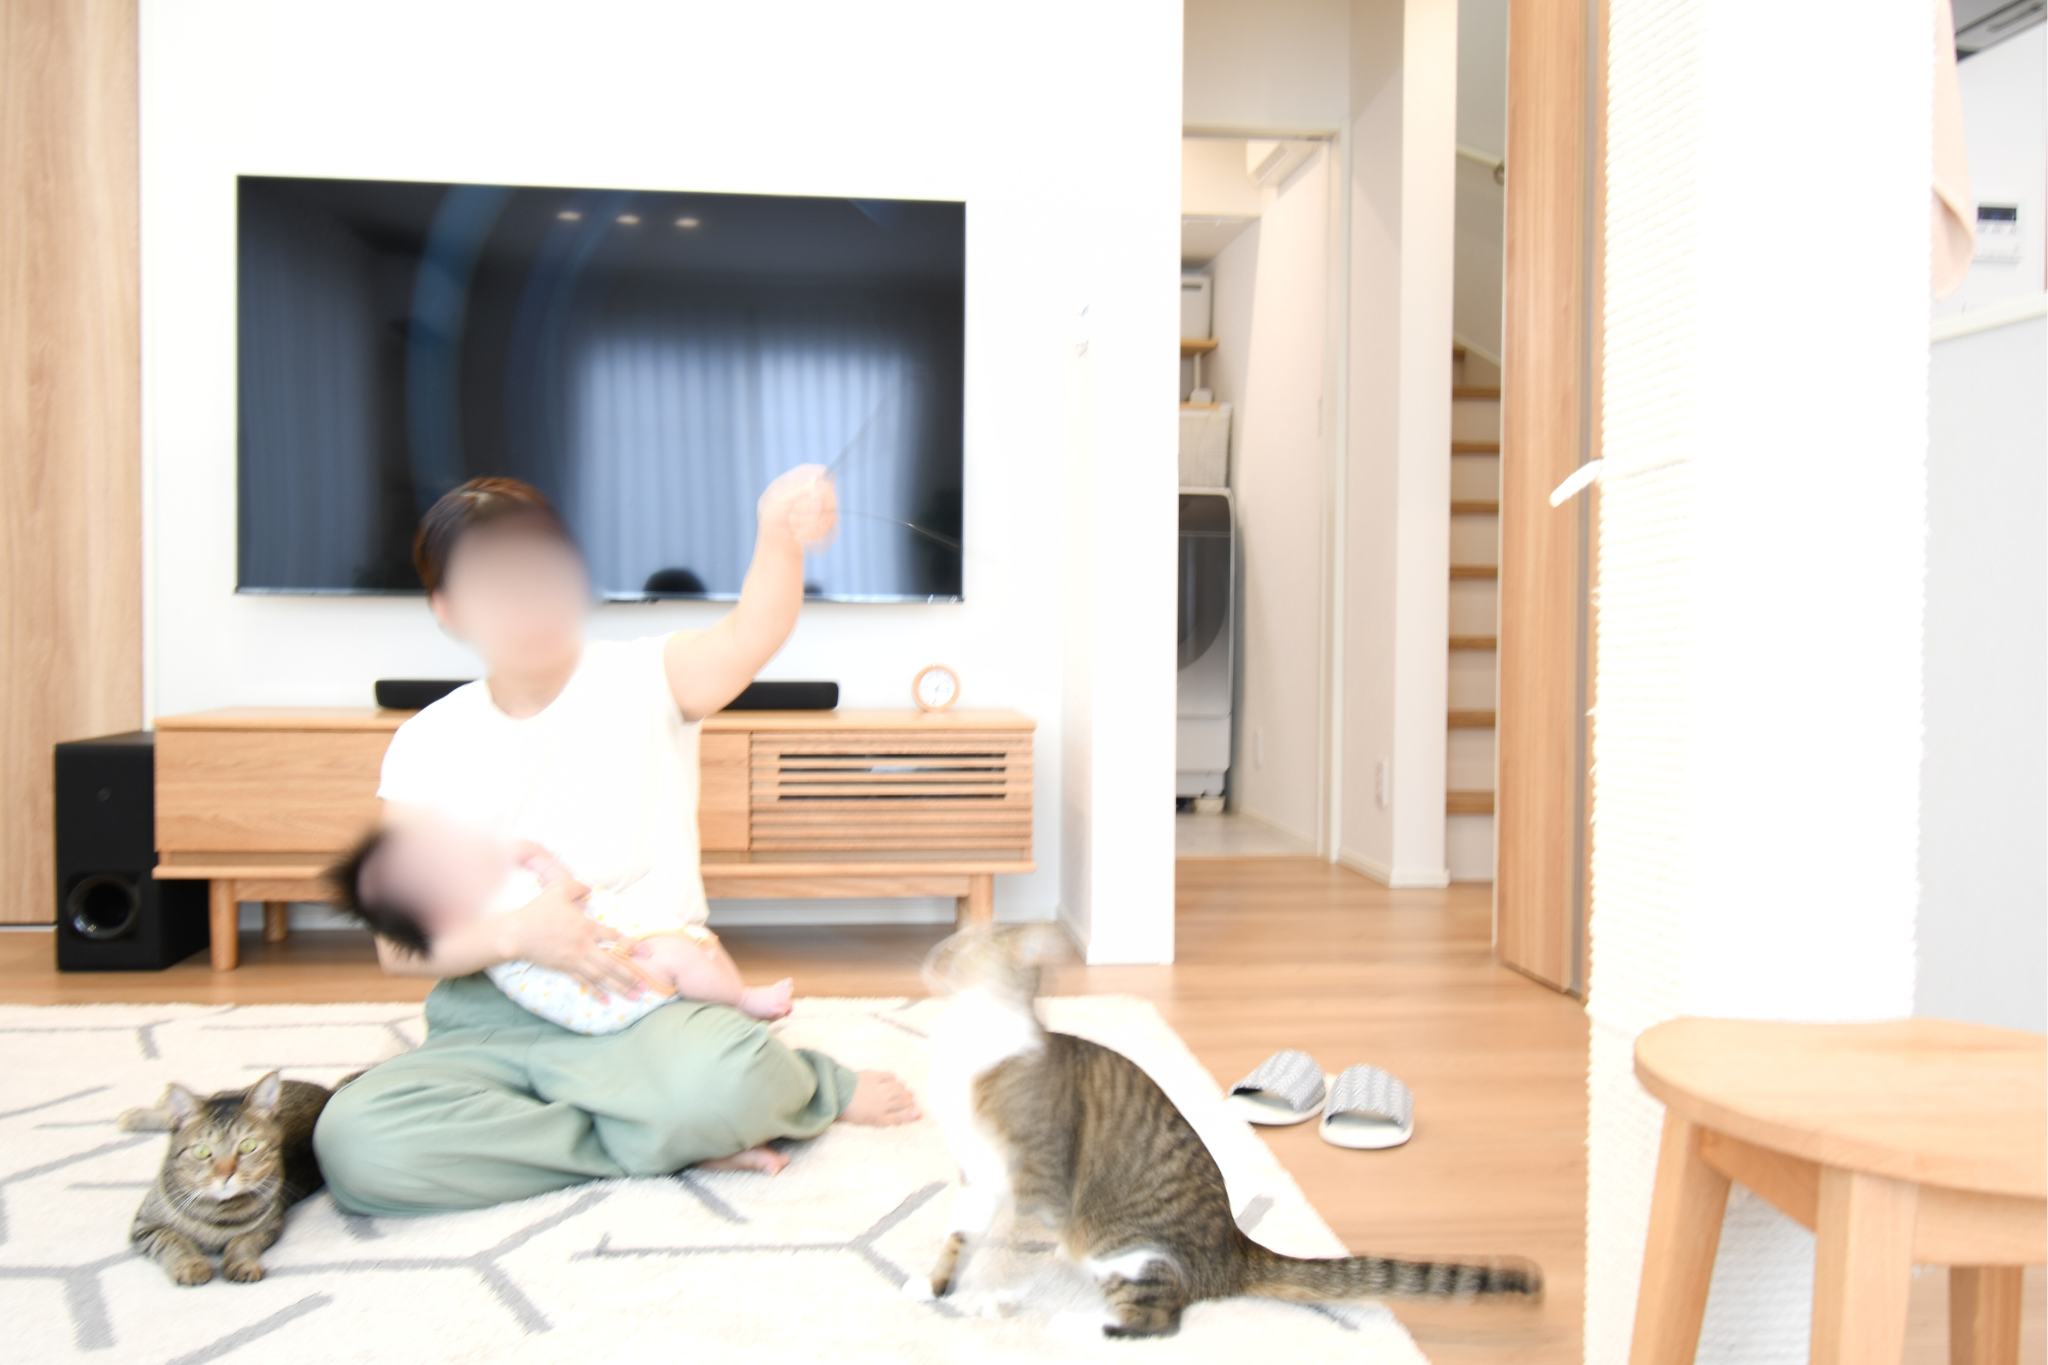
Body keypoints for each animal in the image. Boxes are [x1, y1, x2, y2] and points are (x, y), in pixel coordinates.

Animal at [119, 1071, 337, 1286]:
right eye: (202, 1151)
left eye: (248, 1146)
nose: (225, 1175)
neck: (215, 1212)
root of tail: (328, 1092)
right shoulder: (145, 1225)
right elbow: (173, 1239)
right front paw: (192, 1265)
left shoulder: (269, 1227)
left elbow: (243, 1242)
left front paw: (242, 1264)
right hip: (225, 1094)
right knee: (190, 1104)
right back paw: (143, 1112)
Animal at [919, 925, 1542, 1338]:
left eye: (966, 944)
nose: (933, 952)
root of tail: (1237, 1247)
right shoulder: (979, 1177)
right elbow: (959, 1235)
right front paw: (936, 1286)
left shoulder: (1039, 1184)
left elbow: (1014, 1251)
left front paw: (991, 1299)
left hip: (1120, 1245)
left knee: (1158, 1318)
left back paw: (1074, 1325)